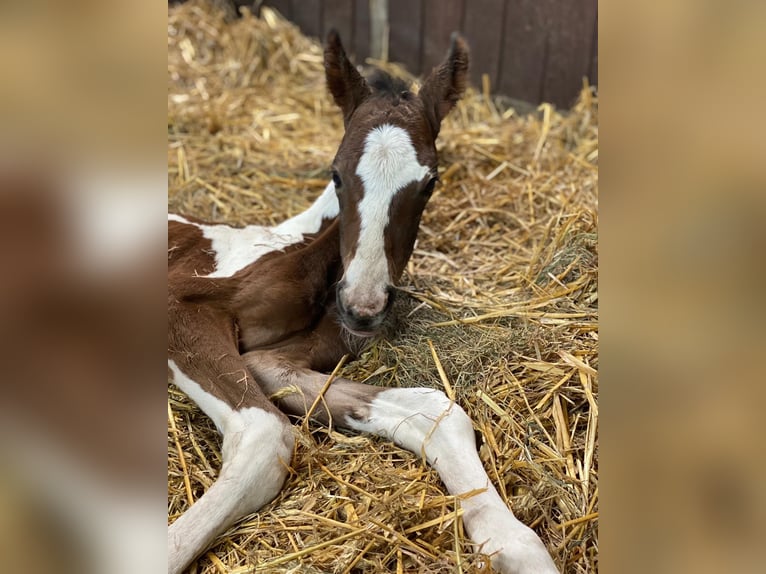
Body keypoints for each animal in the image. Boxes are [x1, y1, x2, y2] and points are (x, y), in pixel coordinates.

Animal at [168, 30, 558, 574]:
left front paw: (513, 543)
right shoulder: (180, 306)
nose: (363, 306)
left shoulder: (281, 357)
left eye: (429, 182)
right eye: (336, 174)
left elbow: (435, 410)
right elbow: (267, 438)